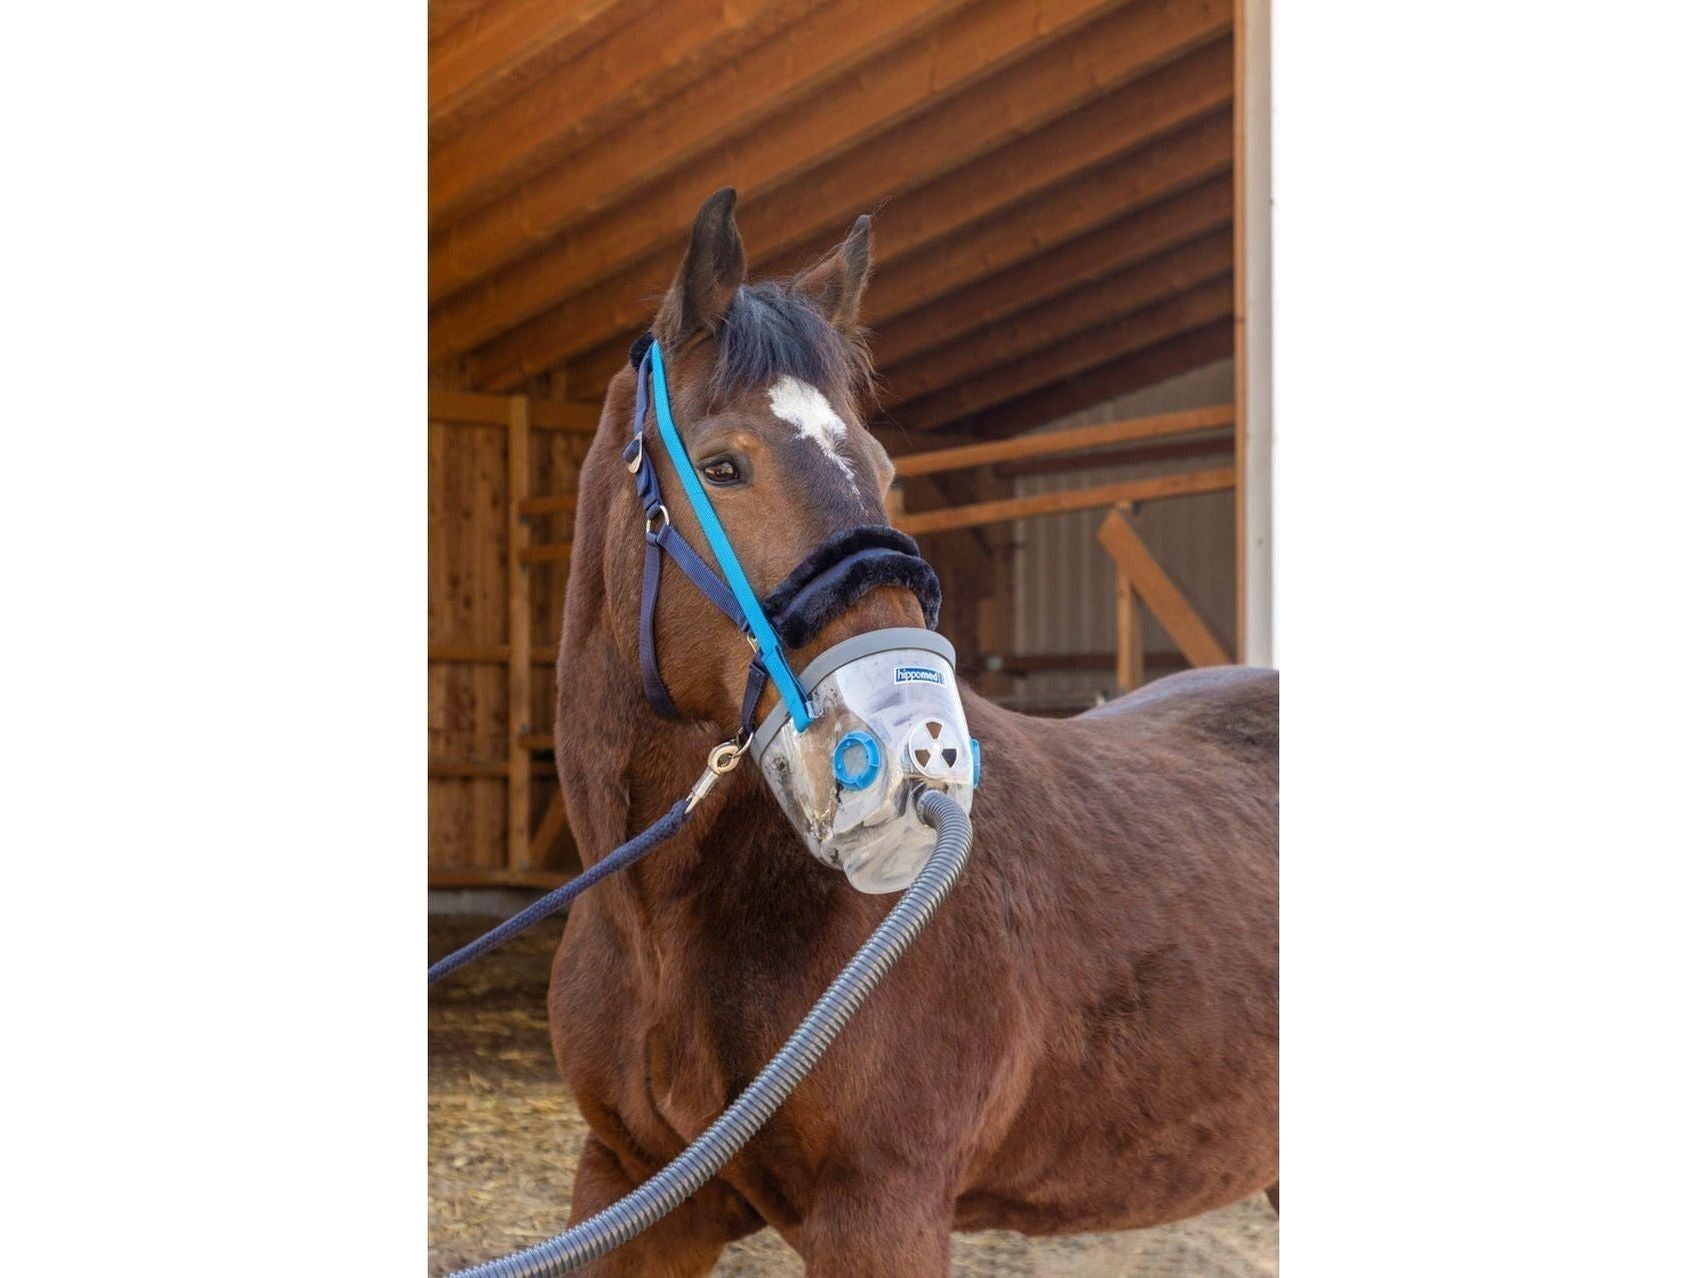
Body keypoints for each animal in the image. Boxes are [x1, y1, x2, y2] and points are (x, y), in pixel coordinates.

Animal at [548, 187, 1277, 1276]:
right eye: (722, 466)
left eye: (885, 465)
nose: (916, 748)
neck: (664, 925)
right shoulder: (633, 1187)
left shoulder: (882, 1209)